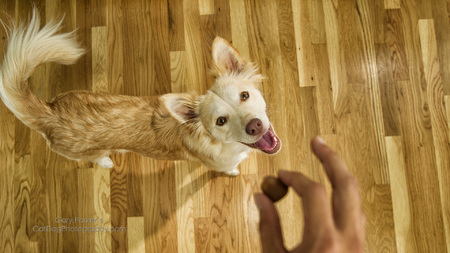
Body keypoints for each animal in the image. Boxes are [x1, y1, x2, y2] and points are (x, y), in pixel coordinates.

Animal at [0, 9, 282, 176]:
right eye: (220, 121)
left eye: (244, 95)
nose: (255, 126)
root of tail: (50, 112)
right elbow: (229, 169)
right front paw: (233, 173)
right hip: (88, 152)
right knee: (97, 158)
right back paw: (107, 162)